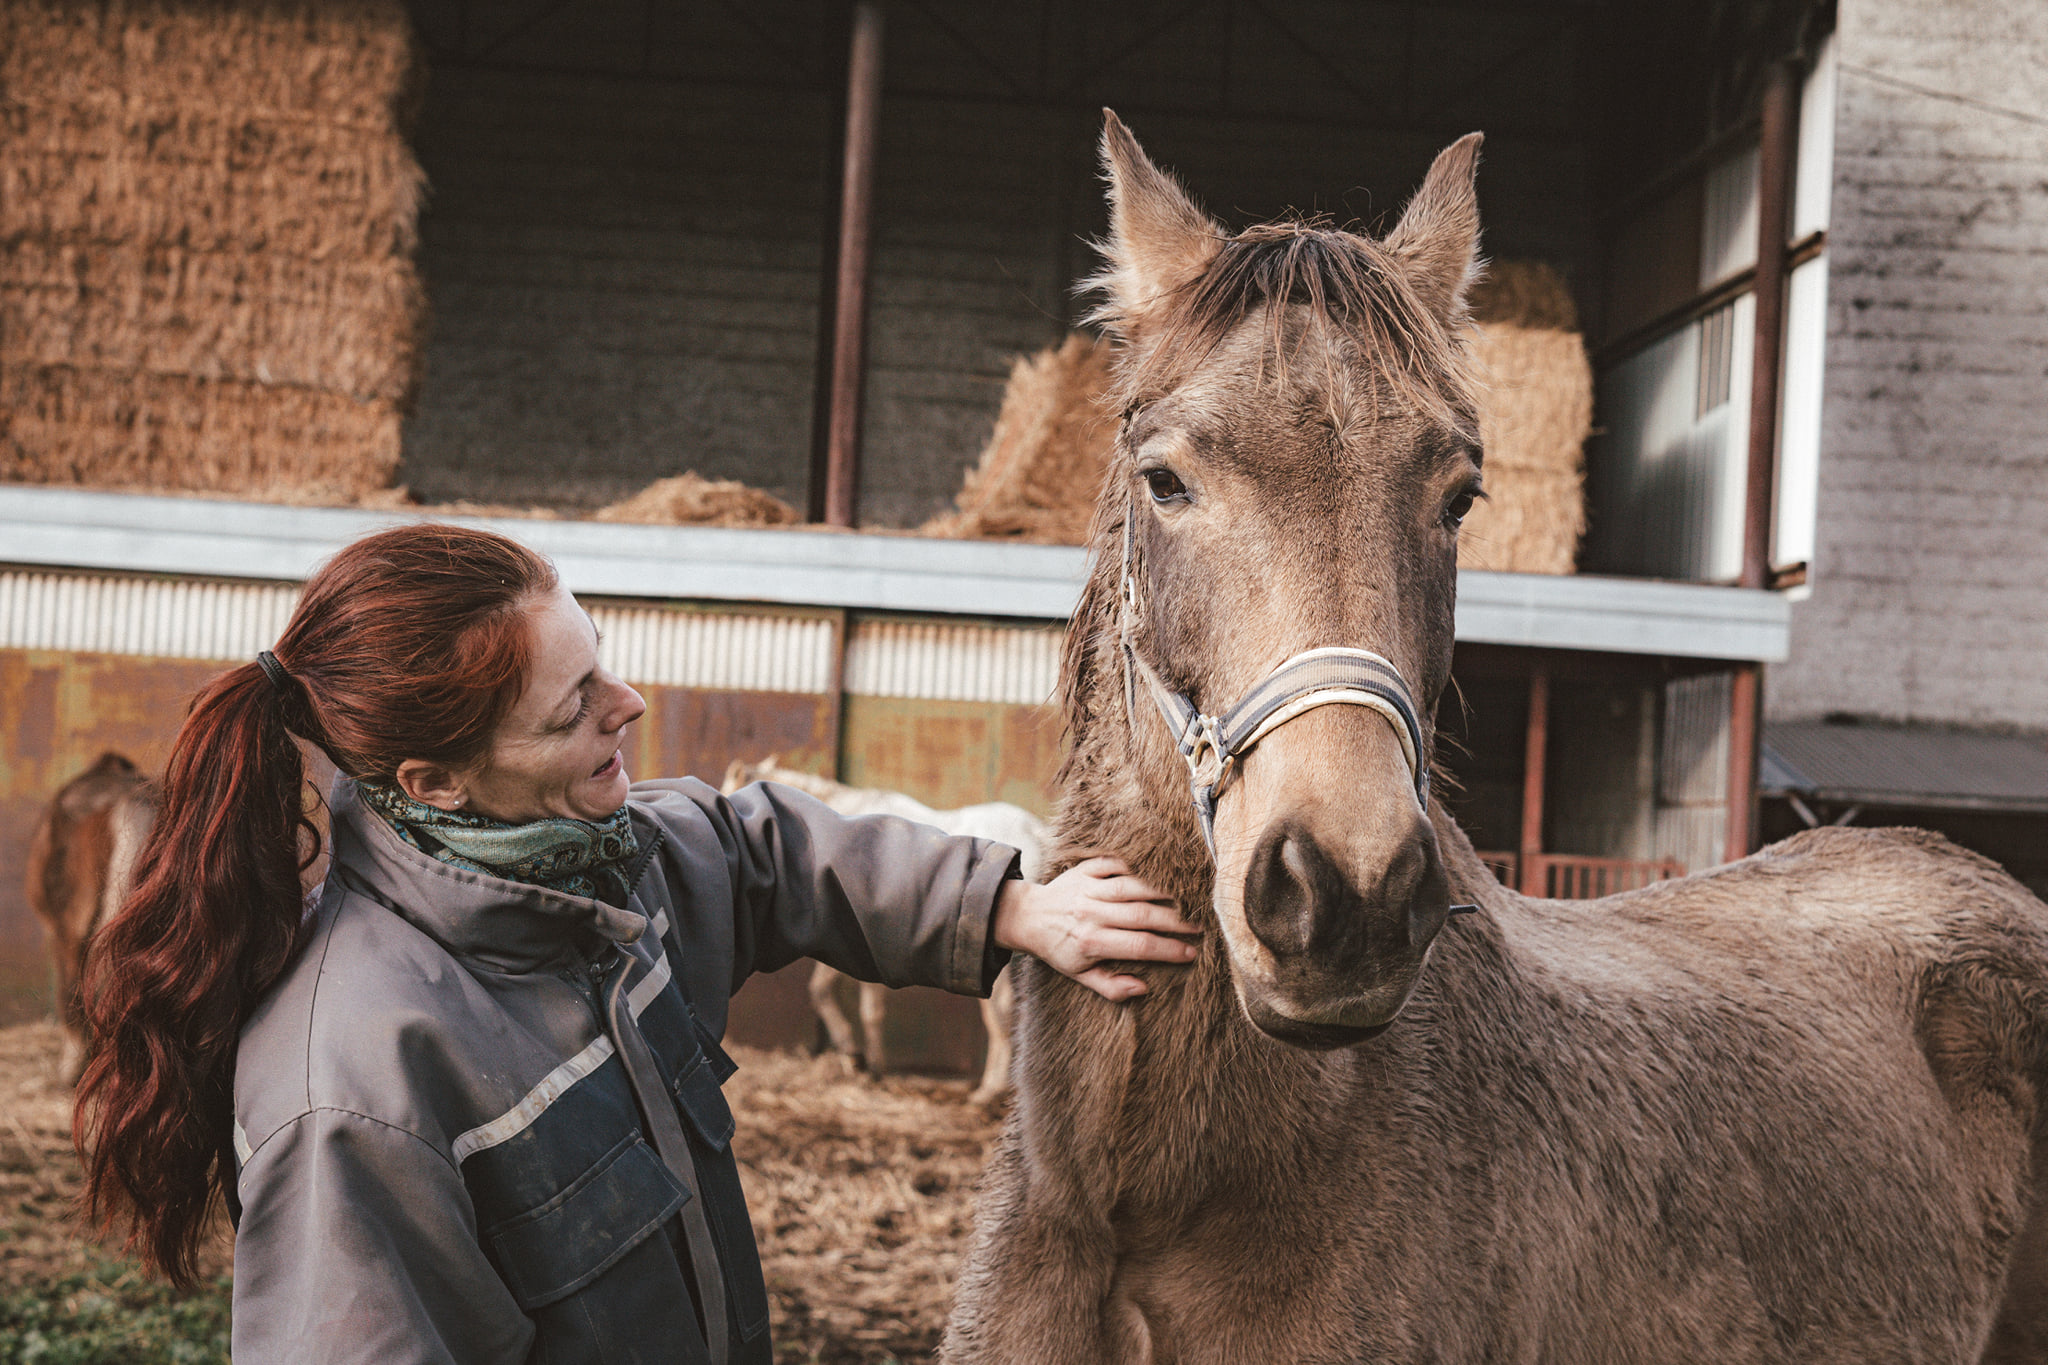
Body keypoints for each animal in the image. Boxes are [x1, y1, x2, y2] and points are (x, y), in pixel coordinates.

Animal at [719, 758, 1049, 1103]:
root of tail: (1035, 830)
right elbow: (862, 1006)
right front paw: (872, 1065)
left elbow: (833, 996)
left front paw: (858, 1057)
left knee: (1000, 1014)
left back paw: (988, 1091)